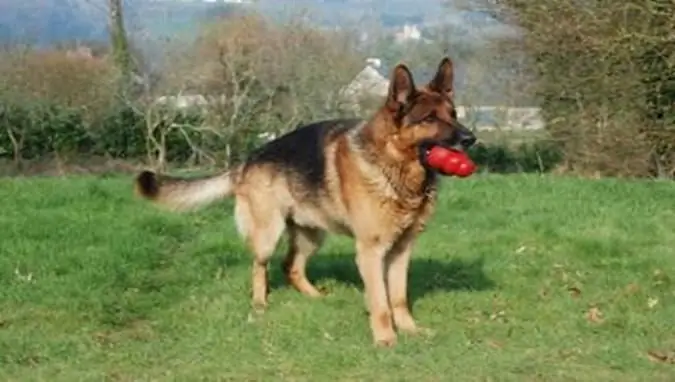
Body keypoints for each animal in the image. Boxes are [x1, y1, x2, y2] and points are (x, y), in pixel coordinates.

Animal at [135, 56, 478, 346]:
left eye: (453, 114)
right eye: (430, 118)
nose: (471, 139)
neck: (392, 166)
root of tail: (248, 160)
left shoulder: (401, 251)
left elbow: (399, 297)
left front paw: (409, 330)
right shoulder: (370, 252)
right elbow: (380, 300)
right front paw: (385, 339)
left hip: (312, 235)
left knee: (291, 266)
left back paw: (315, 297)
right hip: (269, 234)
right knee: (260, 266)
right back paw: (259, 303)